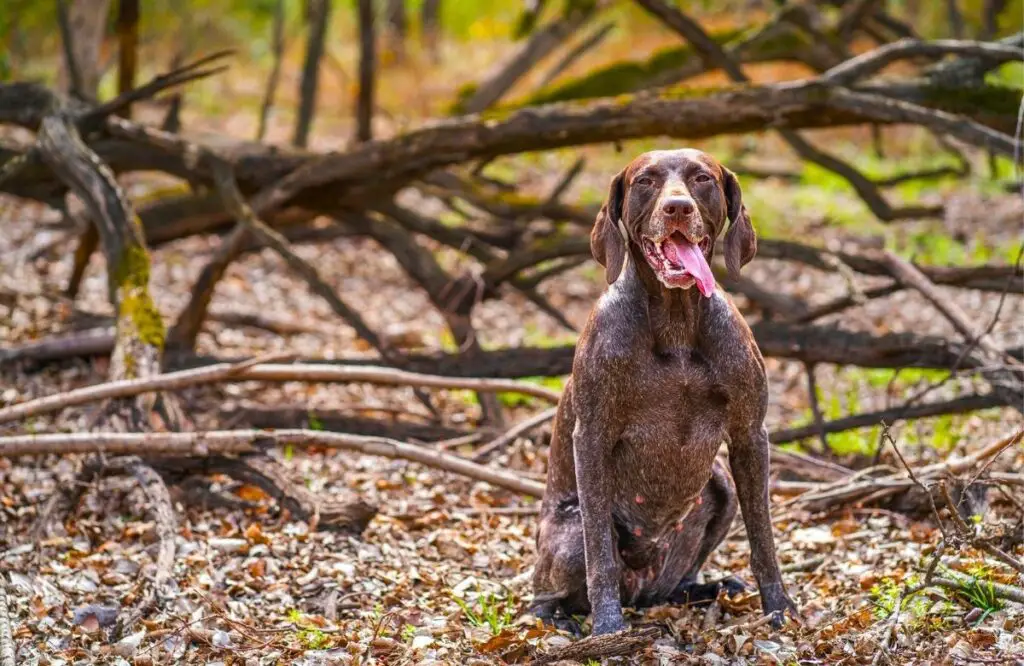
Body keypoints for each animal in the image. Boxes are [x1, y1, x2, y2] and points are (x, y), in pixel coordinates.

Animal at [528, 147, 798, 635]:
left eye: (702, 178)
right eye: (646, 181)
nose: (677, 208)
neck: (676, 324)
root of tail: (644, 587)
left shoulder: (751, 435)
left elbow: (764, 540)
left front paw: (779, 607)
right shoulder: (590, 437)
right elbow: (601, 554)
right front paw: (607, 629)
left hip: (720, 486)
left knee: (676, 581)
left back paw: (703, 588)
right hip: (568, 535)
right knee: (550, 588)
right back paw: (559, 618)